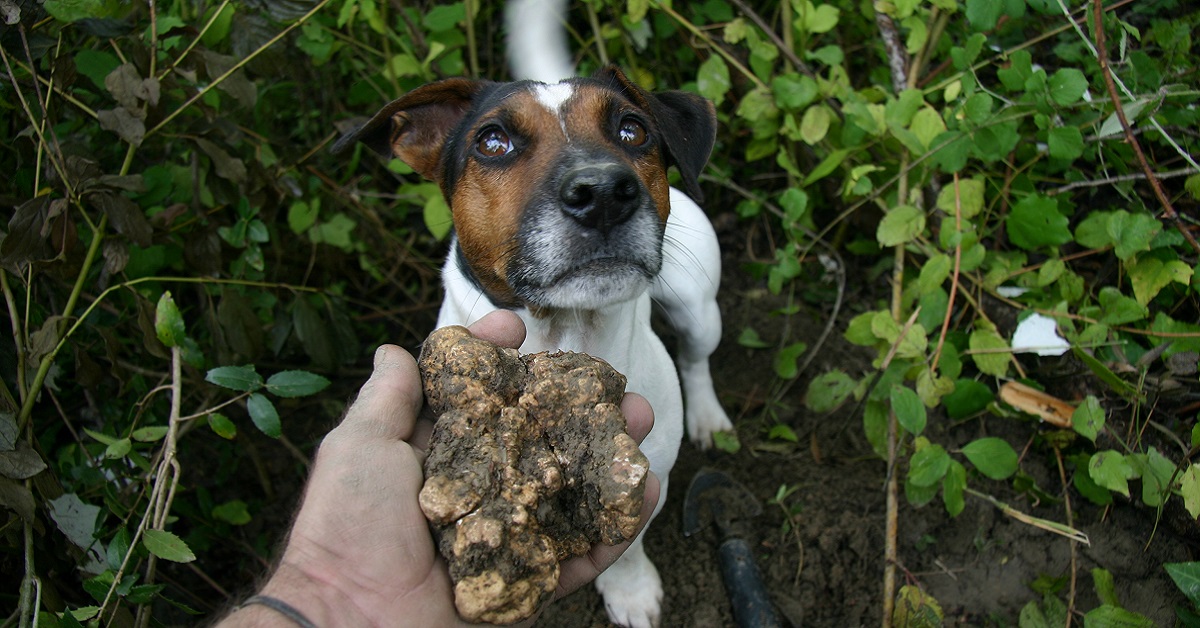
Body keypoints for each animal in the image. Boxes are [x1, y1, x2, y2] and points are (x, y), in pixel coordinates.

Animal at [333, 14, 734, 628]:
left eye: (634, 131)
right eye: (492, 142)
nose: (603, 192)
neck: (566, 328)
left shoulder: (653, 478)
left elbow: (628, 542)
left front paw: (631, 590)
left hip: (698, 308)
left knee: (696, 357)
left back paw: (708, 415)